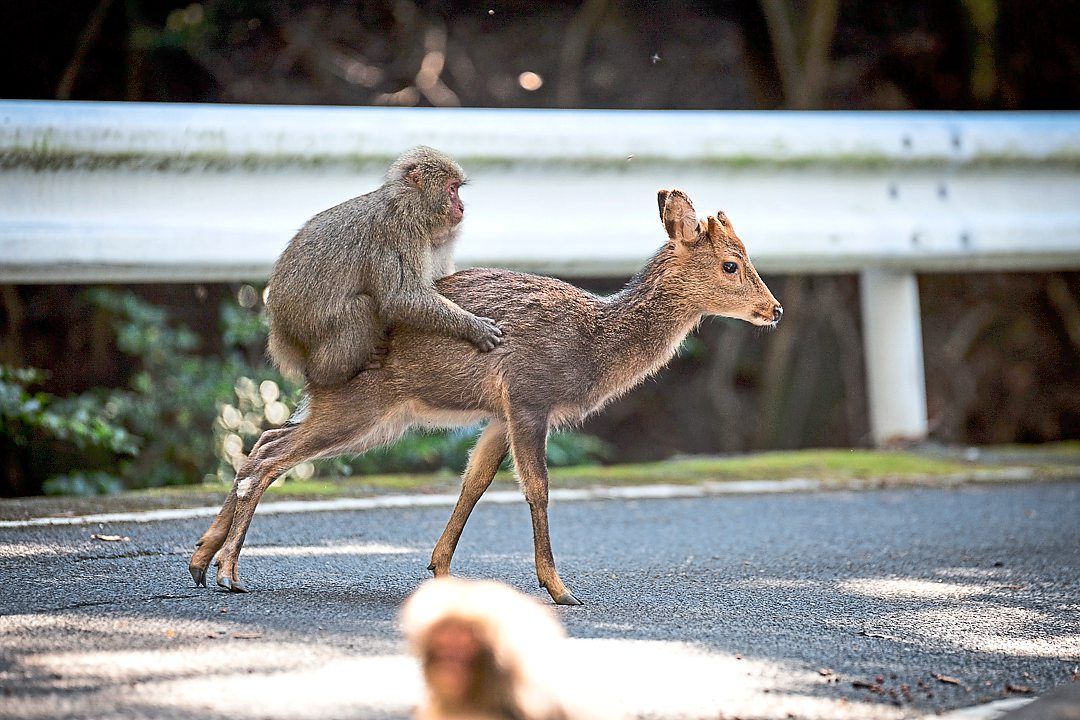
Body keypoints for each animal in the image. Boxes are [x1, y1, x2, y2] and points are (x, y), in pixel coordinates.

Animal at [189, 189, 782, 605]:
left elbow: (473, 482)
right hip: (360, 407)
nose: (774, 309)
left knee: (264, 440)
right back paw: (228, 572)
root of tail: (306, 357)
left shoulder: (500, 414)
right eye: (731, 263)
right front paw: (559, 588)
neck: (592, 344)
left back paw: (200, 561)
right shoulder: (529, 395)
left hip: (368, 416)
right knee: (268, 457)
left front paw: (441, 569)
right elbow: (537, 488)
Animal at [264, 146, 503, 387]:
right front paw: (473, 327)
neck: (408, 206)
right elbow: (401, 298)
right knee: (361, 307)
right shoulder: (397, 234)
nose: (461, 207)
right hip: (308, 329)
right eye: (452, 189)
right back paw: (330, 373)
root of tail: (280, 333)